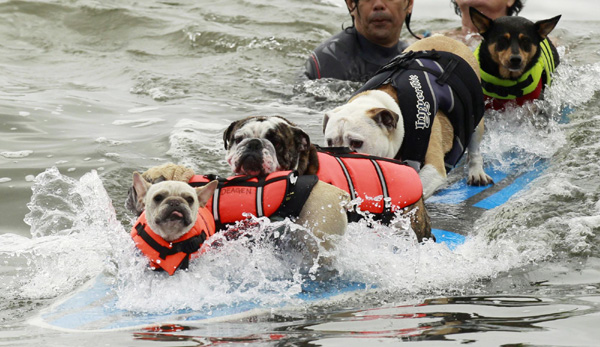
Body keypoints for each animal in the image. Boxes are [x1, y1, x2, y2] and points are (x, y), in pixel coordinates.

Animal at [324, 35, 492, 200]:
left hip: (476, 119)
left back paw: (476, 173)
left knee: (474, 147)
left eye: (357, 143)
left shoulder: (433, 169)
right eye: (329, 142)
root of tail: (447, 38)